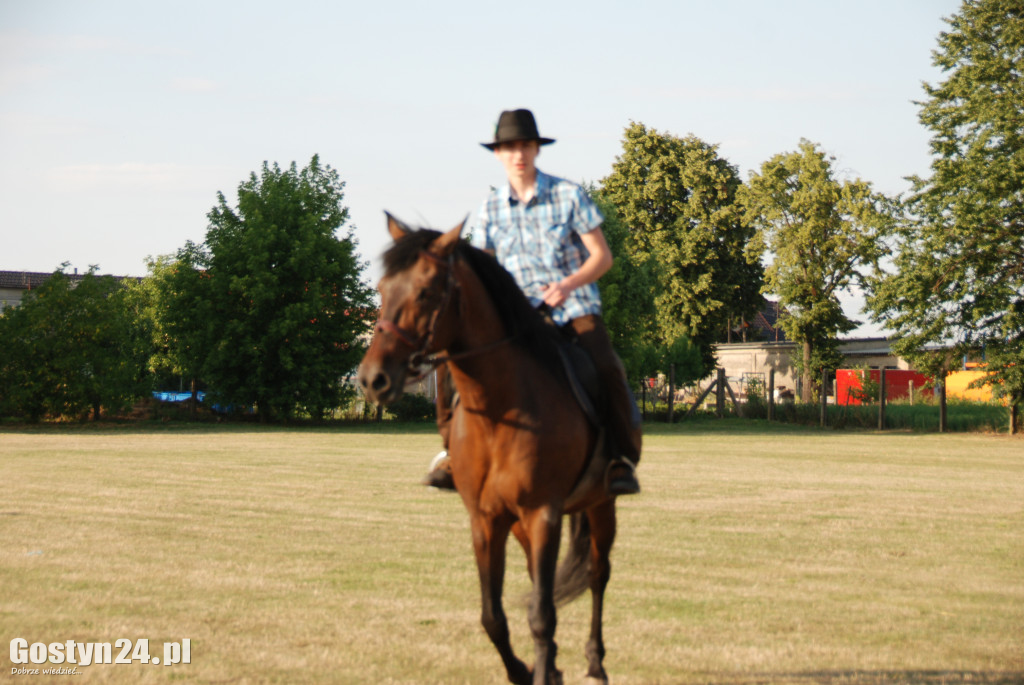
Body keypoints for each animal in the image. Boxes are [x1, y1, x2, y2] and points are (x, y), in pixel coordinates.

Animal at [358, 215, 622, 683]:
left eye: (426, 292)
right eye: (383, 289)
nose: (373, 380)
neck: (501, 411)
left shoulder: (543, 512)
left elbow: (542, 614)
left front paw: (545, 669)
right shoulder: (486, 519)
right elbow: (494, 617)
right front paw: (528, 670)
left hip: (599, 504)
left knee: (597, 575)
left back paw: (595, 662)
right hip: (520, 524)